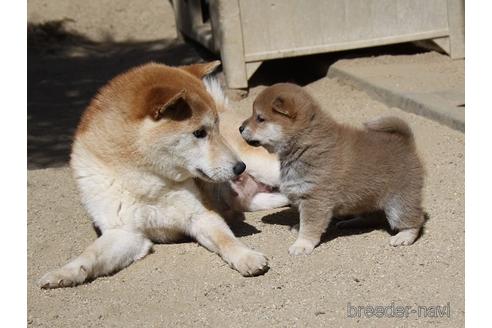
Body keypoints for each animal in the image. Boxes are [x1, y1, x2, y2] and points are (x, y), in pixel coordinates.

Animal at [40, 61, 290, 288]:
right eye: (199, 132)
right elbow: (89, 255)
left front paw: (246, 257)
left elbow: (227, 240)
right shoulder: (124, 232)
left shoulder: (202, 215)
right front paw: (64, 273)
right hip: (258, 200)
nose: (240, 168)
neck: (145, 181)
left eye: (216, 128)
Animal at [240, 83, 424, 255]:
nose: (240, 128)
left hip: (398, 202)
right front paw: (298, 228)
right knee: (370, 216)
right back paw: (350, 222)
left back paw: (404, 236)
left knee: (414, 220)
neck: (306, 143)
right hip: (366, 197)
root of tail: (405, 143)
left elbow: (310, 225)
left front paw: (302, 244)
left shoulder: (315, 198)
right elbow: (303, 220)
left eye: (260, 118)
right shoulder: (303, 194)